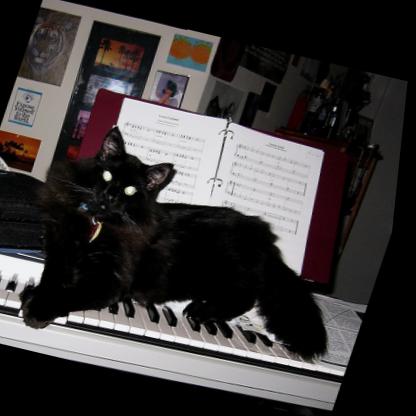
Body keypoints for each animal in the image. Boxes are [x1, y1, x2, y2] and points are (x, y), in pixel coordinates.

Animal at [20, 126, 327, 360]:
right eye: (107, 175)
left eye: (130, 190)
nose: (108, 196)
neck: (97, 224)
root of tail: (263, 235)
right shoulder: (59, 248)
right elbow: (52, 278)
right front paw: (32, 294)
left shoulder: (108, 280)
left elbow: (69, 293)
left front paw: (38, 309)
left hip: (227, 271)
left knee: (245, 297)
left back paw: (200, 310)